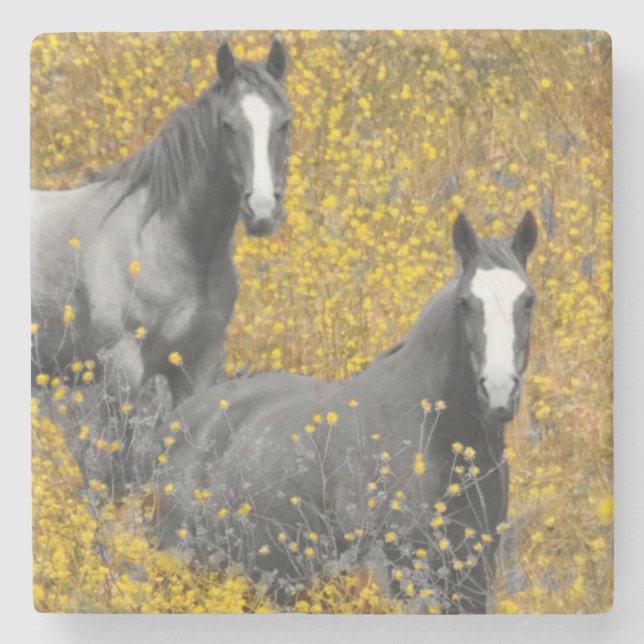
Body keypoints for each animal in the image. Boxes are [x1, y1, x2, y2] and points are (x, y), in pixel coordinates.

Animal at [31, 40, 293, 494]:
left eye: (285, 124)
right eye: (227, 125)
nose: (261, 211)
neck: (163, 241)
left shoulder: (195, 367)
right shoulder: (121, 372)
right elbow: (118, 471)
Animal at [131, 212, 538, 613]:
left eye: (528, 301)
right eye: (466, 303)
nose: (499, 391)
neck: (433, 433)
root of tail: (172, 427)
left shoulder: (473, 579)